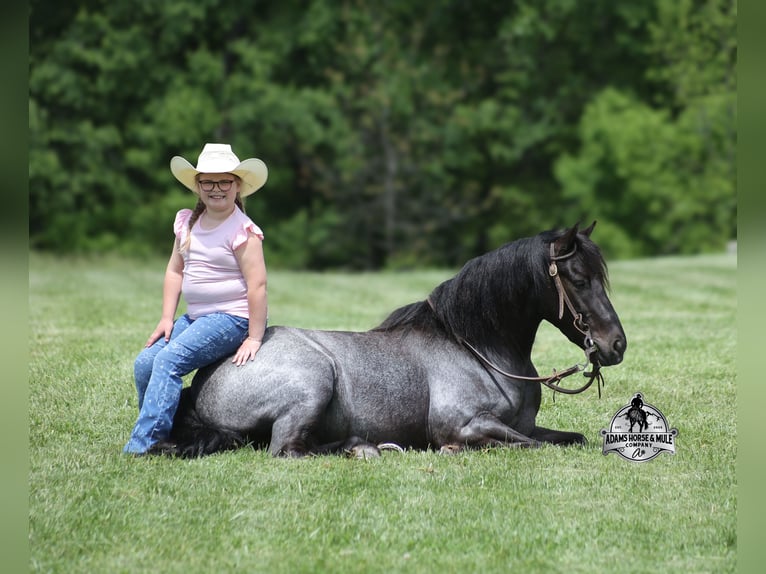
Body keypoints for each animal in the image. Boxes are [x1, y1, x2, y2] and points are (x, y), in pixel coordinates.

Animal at [153, 222, 626, 458]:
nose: (616, 344)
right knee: (288, 450)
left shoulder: (524, 426)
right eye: (579, 279)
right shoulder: (465, 424)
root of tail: (206, 378)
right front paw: (451, 452)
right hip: (312, 384)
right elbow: (530, 447)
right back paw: (365, 448)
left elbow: (568, 439)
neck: (479, 351)